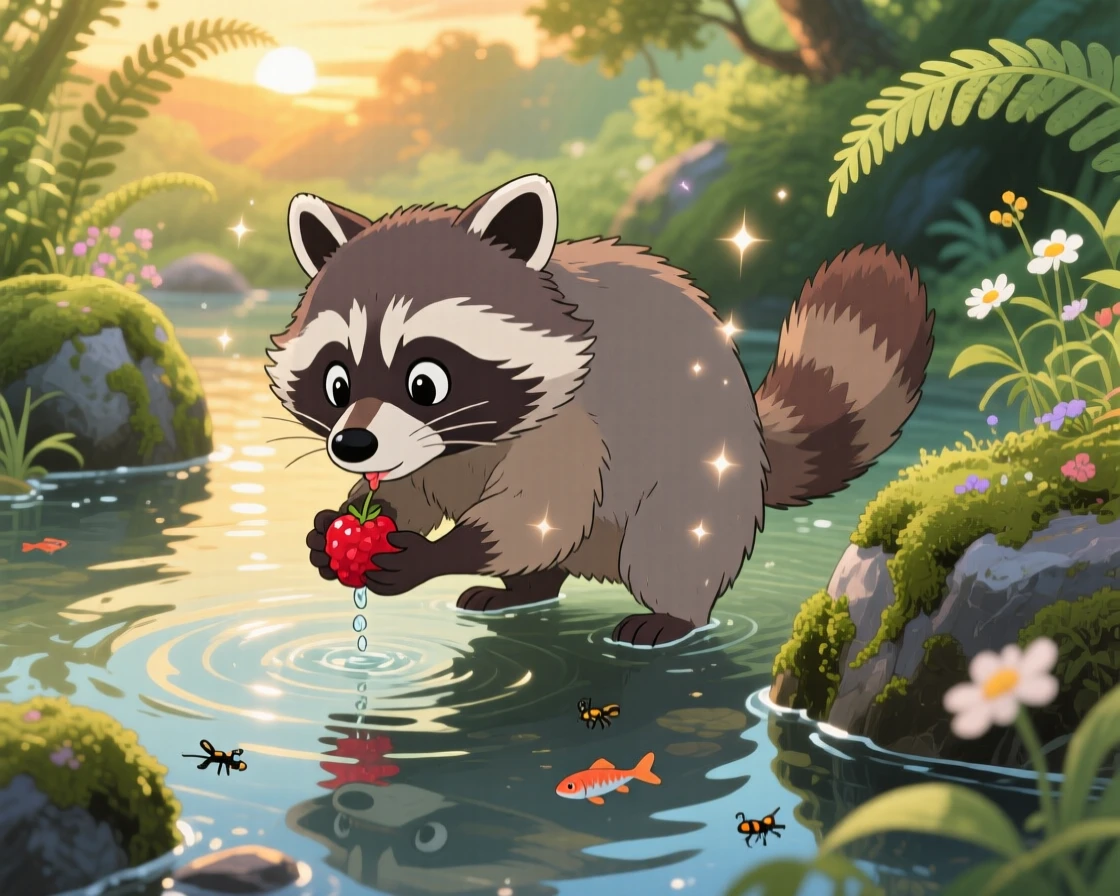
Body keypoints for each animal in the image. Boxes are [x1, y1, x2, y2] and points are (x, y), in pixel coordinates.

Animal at [269, 173, 933, 647]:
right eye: (336, 382)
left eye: (425, 382)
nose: (353, 446)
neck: (466, 438)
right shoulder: (425, 455)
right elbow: (407, 489)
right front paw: (341, 522)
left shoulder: (574, 423)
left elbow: (537, 514)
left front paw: (439, 553)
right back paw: (525, 590)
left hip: (703, 473)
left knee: (670, 542)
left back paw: (672, 615)